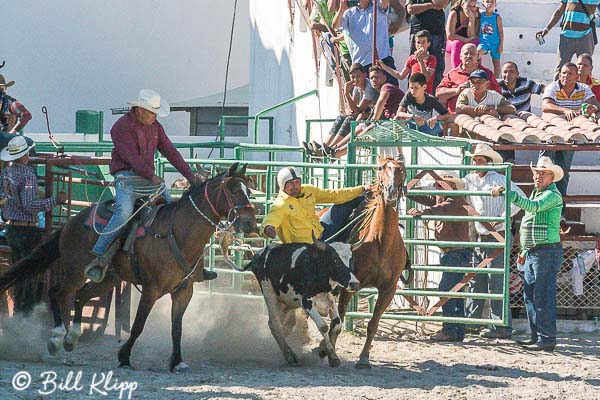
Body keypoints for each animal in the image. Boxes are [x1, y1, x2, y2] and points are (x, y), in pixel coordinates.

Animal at [0, 162, 255, 372]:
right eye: (233, 190)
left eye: (249, 191)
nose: (250, 222)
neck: (177, 233)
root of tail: (71, 222)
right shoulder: (151, 290)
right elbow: (138, 325)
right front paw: (124, 357)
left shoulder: (184, 291)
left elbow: (177, 327)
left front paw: (177, 362)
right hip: (76, 270)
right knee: (58, 292)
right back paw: (56, 338)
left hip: (107, 279)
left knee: (81, 297)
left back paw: (72, 337)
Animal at [245, 239, 358, 368]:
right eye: (335, 260)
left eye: (352, 260)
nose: (354, 283)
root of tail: (258, 255)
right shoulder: (307, 302)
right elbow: (323, 326)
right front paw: (331, 355)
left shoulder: (331, 300)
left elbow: (337, 326)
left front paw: (329, 354)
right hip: (269, 293)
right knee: (275, 324)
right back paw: (290, 356)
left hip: (287, 303)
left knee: (276, 325)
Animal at [328, 156, 408, 368]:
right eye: (380, 167)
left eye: (402, 169)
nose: (390, 192)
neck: (381, 242)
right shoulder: (349, 287)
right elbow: (338, 322)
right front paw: (329, 353)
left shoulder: (388, 290)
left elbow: (373, 324)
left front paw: (364, 358)